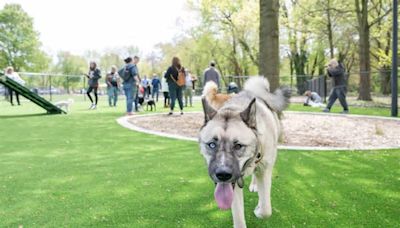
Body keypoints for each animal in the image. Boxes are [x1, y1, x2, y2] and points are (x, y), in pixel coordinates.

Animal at [199, 77, 288, 228]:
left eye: (238, 146)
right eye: (212, 144)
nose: (222, 175)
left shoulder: (265, 170)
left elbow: (266, 209)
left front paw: (258, 210)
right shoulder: (233, 186)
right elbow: (239, 217)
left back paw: (254, 185)